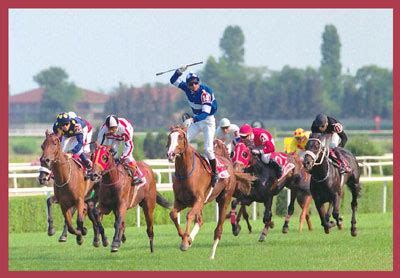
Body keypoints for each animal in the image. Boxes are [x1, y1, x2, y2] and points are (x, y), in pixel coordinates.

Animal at [166, 127, 255, 260]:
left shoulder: (198, 200)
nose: (170, 154)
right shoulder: (181, 201)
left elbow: (189, 216)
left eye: (180, 137)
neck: (186, 172)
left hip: (224, 198)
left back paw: (211, 255)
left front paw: (185, 242)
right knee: (200, 220)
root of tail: (229, 164)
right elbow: (173, 214)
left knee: (218, 229)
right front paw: (185, 238)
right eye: (169, 137)